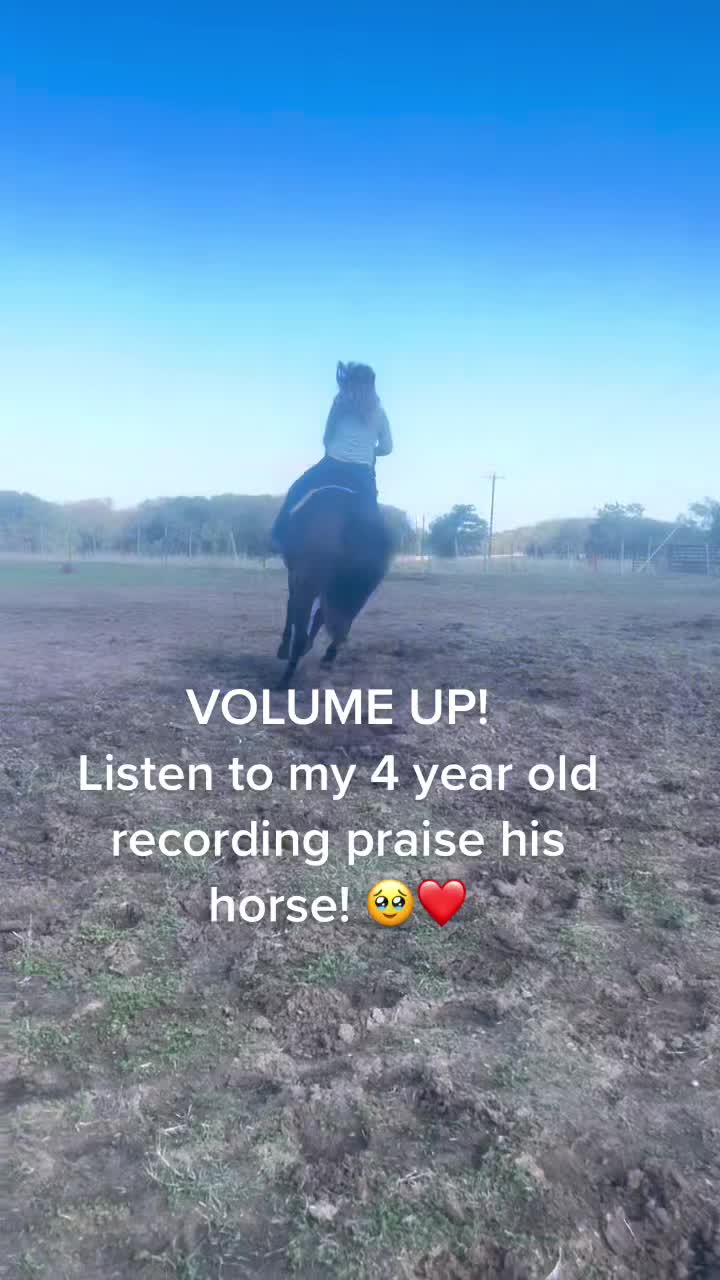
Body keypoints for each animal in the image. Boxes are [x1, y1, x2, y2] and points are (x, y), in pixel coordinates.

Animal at [276, 488, 393, 688]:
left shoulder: (298, 577)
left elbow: (292, 607)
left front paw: (285, 648)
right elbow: (322, 616)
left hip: (308, 582)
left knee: (304, 625)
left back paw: (286, 677)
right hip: (358, 594)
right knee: (339, 626)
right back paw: (326, 657)